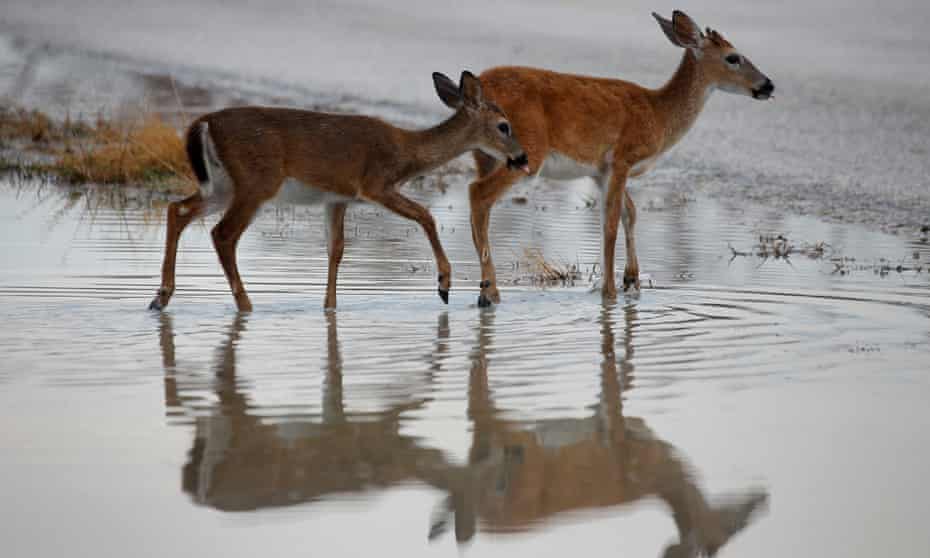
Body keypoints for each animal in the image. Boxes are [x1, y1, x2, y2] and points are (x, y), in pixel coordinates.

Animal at [150, 70, 528, 312]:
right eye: (503, 126)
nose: (522, 157)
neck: (405, 151)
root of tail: (203, 123)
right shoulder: (375, 184)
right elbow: (426, 215)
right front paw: (443, 284)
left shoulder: (338, 199)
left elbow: (336, 250)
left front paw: (329, 308)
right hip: (256, 183)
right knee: (223, 234)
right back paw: (245, 305)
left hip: (222, 186)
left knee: (177, 209)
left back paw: (160, 297)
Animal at [468, 9, 772, 306]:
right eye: (733, 57)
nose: (768, 85)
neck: (659, 115)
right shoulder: (622, 159)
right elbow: (611, 222)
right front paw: (610, 293)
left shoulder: (600, 170)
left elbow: (630, 212)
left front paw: (631, 280)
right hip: (527, 151)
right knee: (478, 194)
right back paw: (490, 293)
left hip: (484, 156)